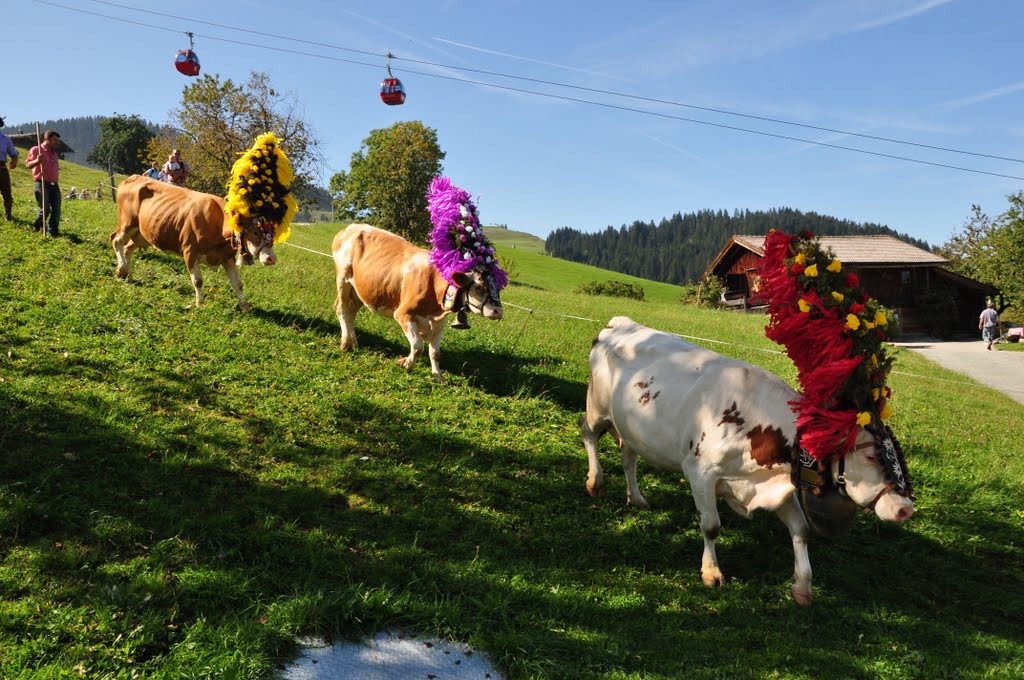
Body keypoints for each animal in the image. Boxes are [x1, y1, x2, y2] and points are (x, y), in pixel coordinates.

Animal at [110, 175, 278, 313]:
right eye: (255, 232)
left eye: (273, 233)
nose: (272, 259)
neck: (217, 223)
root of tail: (134, 177)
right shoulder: (190, 252)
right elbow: (198, 281)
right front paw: (200, 303)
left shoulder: (227, 257)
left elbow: (238, 283)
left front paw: (245, 307)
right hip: (127, 223)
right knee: (116, 240)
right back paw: (121, 268)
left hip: (143, 233)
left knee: (127, 248)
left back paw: (125, 273)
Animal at [331, 176, 507, 383]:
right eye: (479, 287)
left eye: (498, 287)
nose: (498, 311)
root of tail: (352, 227)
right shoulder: (403, 314)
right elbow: (417, 346)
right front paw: (406, 363)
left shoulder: (439, 323)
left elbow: (435, 352)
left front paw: (438, 375)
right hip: (343, 278)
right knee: (342, 308)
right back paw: (345, 343)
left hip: (360, 288)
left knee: (351, 311)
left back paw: (353, 341)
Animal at [581, 317, 917, 606]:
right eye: (871, 455)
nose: (906, 509)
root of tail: (620, 322)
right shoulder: (700, 472)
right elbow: (711, 526)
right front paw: (712, 572)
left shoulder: (781, 484)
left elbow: (801, 530)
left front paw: (802, 586)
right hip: (596, 407)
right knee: (589, 433)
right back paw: (595, 482)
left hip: (632, 427)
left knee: (628, 456)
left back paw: (636, 497)